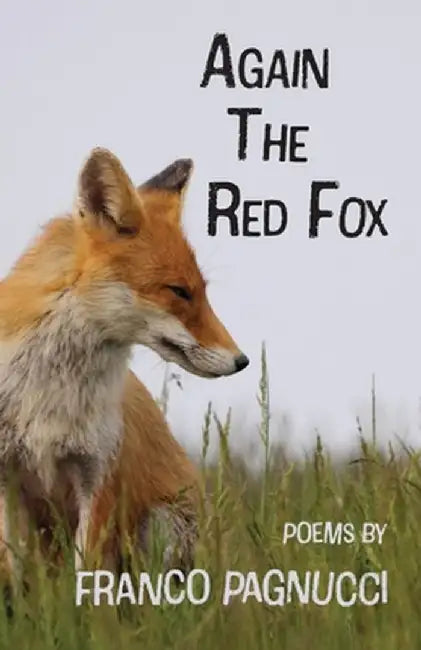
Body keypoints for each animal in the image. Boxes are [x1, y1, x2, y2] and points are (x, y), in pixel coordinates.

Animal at [0, 148, 249, 582]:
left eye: (202, 291)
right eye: (178, 291)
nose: (242, 360)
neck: (49, 392)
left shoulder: (99, 475)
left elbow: (86, 579)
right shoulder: (8, 478)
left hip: (166, 525)